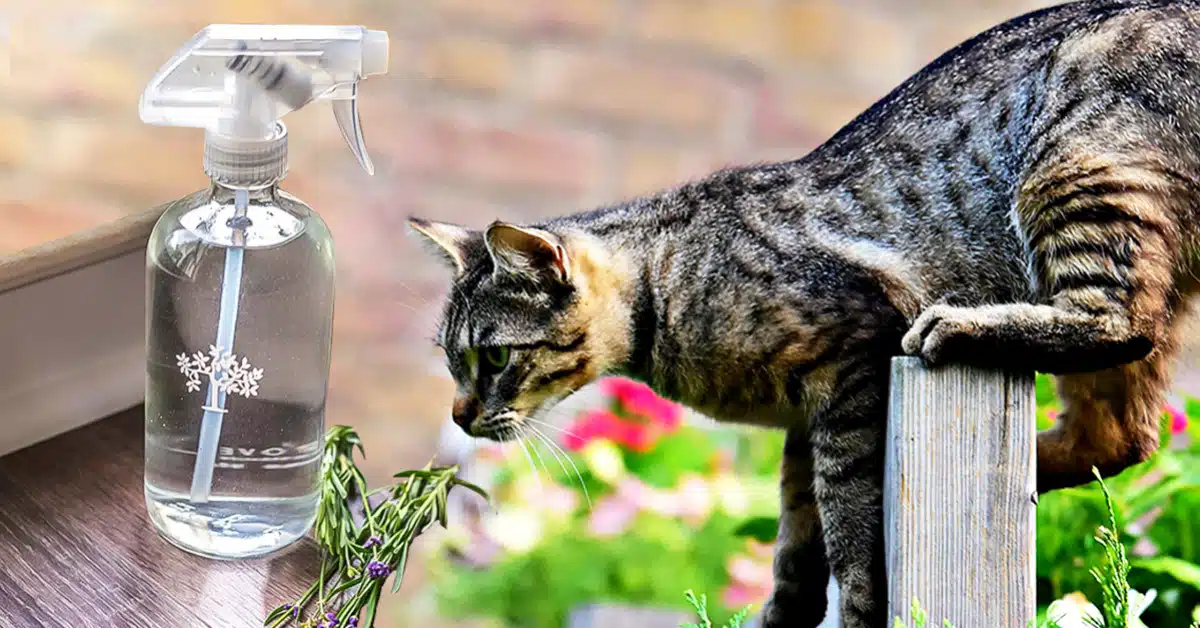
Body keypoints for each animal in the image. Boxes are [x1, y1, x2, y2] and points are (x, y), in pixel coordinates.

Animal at [405, 2, 1200, 624]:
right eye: (450, 360)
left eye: (494, 357)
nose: (460, 415)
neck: (665, 286)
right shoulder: (801, 426)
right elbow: (795, 546)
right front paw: (781, 616)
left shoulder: (851, 370)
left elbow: (846, 527)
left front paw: (859, 606)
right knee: (1124, 435)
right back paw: (1030, 472)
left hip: (1078, 175)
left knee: (1117, 326)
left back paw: (961, 329)